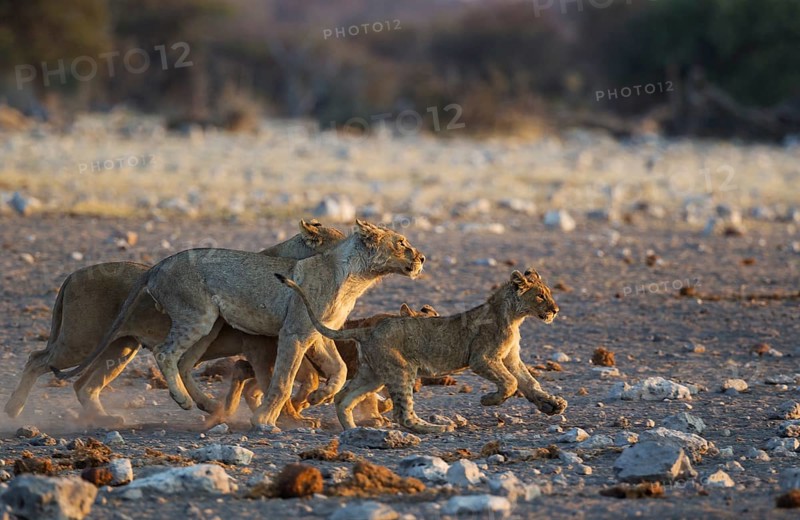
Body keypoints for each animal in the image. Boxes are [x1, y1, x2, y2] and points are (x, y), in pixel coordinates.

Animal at [6, 220, 344, 426]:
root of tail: (72, 274)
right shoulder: (261, 347)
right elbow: (280, 379)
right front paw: (292, 416)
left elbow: (310, 376)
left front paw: (307, 405)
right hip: (81, 340)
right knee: (37, 359)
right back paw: (15, 408)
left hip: (120, 347)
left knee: (84, 385)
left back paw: (109, 419)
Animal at [277, 267, 568, 434]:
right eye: (540, 296)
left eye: (548, 293)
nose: (555, 310)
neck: (514, 317)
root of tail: (368, 330)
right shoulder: (482, 358)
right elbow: (510, 383)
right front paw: (489, 400)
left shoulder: (511, 358)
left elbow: (529, 382)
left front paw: (553, 404)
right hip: (401, 370)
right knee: (402, 414)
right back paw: (439, 427)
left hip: (373, 374)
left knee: (343, 398)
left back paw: (351, 431)